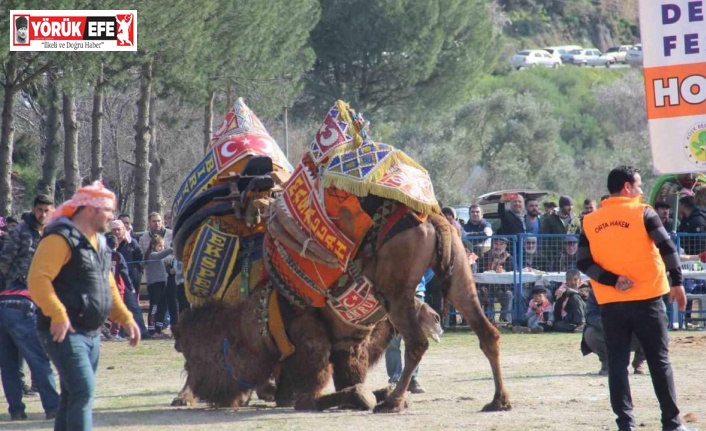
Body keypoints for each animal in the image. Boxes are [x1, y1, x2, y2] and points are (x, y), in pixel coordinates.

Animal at [173, 99, 508, 414]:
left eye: (195, 353)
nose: (207, 389)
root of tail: (433, 217)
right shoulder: (347, 344)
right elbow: (350, 381)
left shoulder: (309, 343)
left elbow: (317, 394)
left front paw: (375, 397)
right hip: (458, 275)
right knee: (487, 333)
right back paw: (498, 400)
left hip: (396, 291)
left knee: (418, 343)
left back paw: (394, 402)